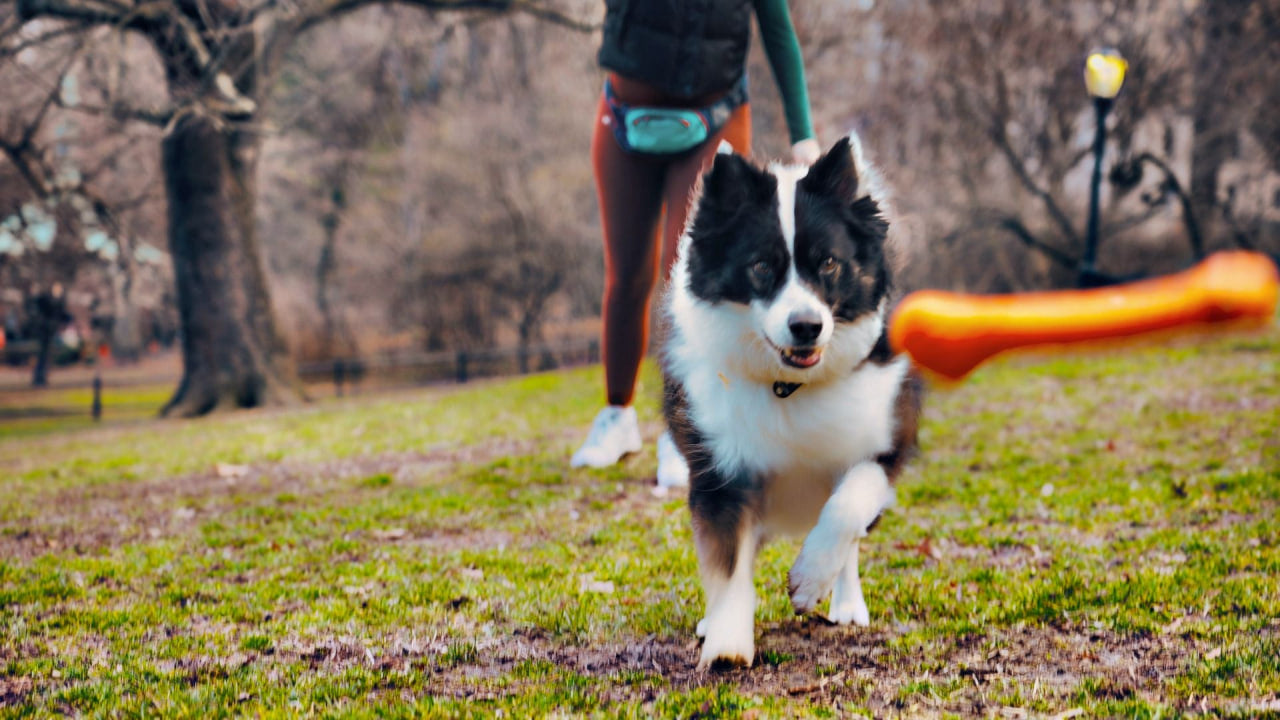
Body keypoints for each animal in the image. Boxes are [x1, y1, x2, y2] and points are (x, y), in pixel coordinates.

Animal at [660, 133, 921, 666]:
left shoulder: (887, 439)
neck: (789, 383)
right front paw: (727, 642)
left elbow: (847, 506)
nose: (807, 327)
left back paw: (845, 602)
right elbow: (728, 566)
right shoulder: (720, 471)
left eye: (829, 262)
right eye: (761, 266)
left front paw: (810, 580)